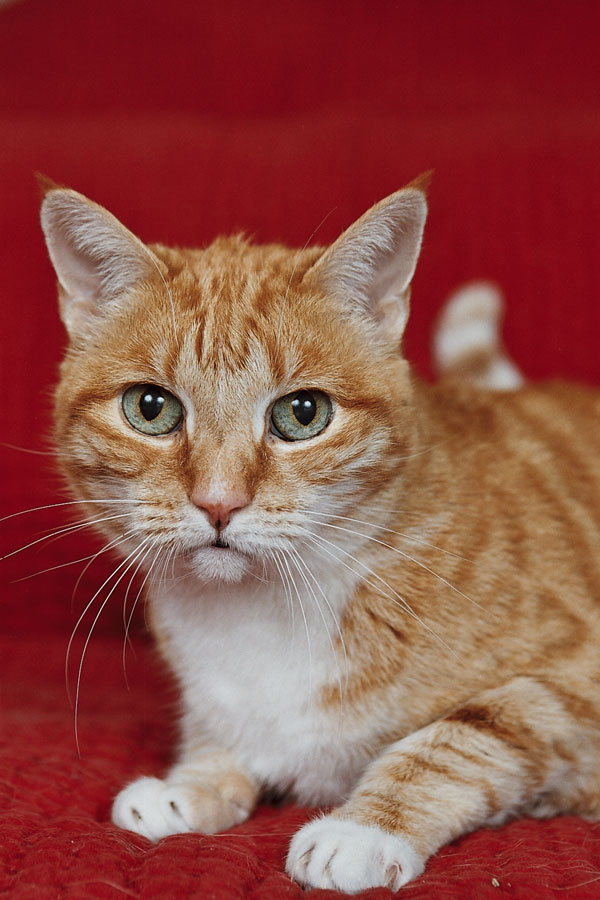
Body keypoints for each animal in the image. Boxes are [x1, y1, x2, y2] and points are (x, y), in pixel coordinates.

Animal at [41, 176, 600, 892]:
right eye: (151, 407)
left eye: (303, 414)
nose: (218, 502)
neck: (259, 612)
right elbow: (227, 748)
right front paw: (188, 786)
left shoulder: (572, 681)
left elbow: (462, 738)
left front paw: (362, 829)